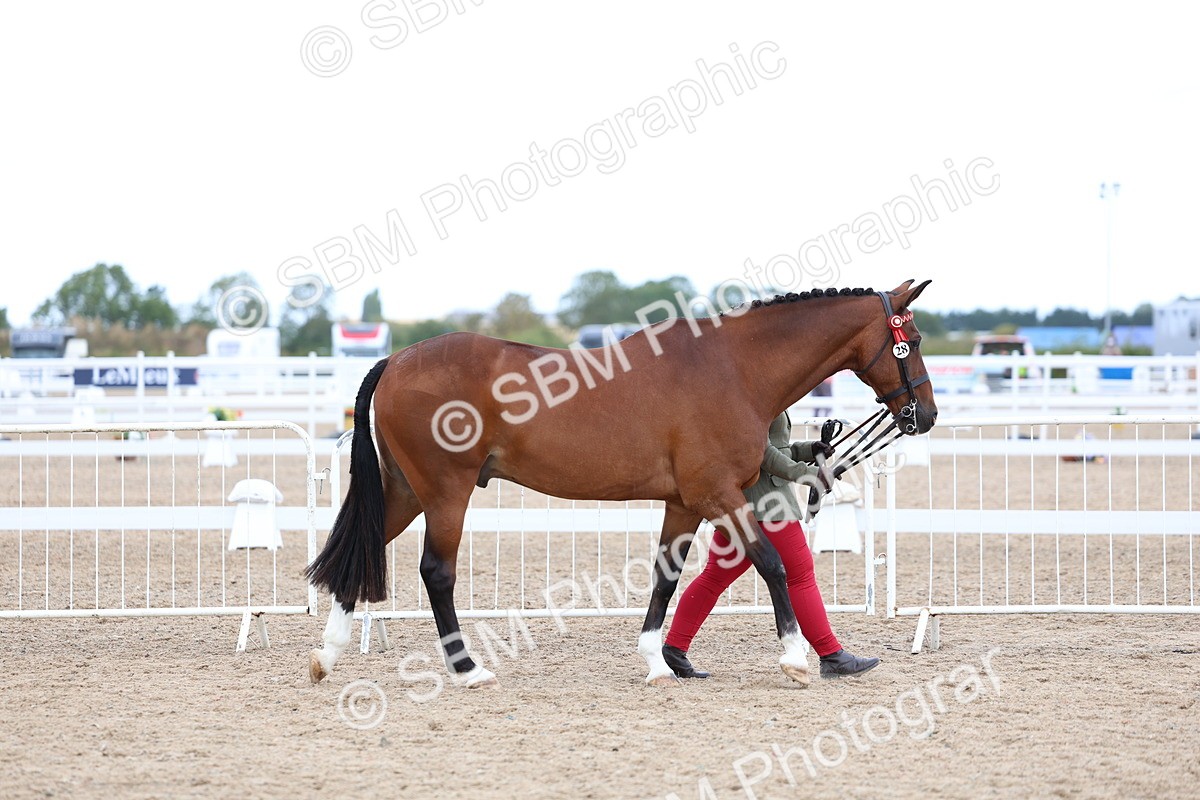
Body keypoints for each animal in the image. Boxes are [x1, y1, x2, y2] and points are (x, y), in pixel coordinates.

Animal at [305, 279, 938, 687]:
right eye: (911, 342)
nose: (926, 415)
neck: (734, 368)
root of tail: (396, 360)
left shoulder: (685, 502)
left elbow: (666, 578)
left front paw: (658, 662)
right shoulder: (718, 495)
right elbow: (773, 565)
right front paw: (795, 660)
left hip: (407, 492)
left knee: (360, 552)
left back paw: (327, 656)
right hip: (445, 494)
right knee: (436, 573)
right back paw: (467, 670)